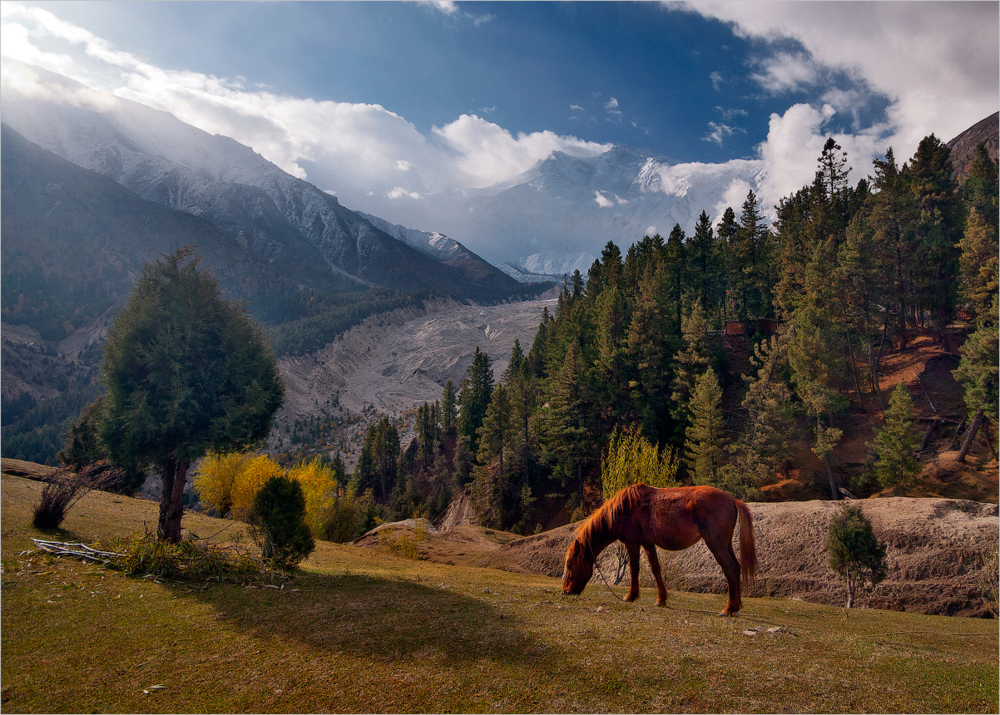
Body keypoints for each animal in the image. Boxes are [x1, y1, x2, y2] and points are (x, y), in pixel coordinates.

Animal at [564, 484, 756, 620]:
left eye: (570, 565)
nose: (565, 591)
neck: (624, 508)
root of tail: (732, 500)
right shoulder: (648, 543)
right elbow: (655, 569)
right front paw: (661, 599)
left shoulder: (632, 542)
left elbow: (634, 568)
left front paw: (631, 596)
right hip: (726, 544)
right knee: (736, 567)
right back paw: (737, 607)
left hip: (716, 543)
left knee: (729, 568)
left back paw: (729, 608)